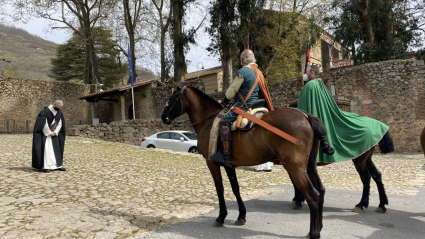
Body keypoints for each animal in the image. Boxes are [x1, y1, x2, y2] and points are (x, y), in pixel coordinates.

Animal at [162, 82, 334, 239]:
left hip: (295, 167)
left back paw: (314, 232)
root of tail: (306, 116)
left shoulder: (212, 163)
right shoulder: (228, 164)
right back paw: (319, 226)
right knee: (321, 190)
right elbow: (235, 188)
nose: (164, 117)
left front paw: (221, 217)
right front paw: (241, 216)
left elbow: (220, 189)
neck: (208, 121)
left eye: (173, 97)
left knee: (313, 195)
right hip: (309, 166)